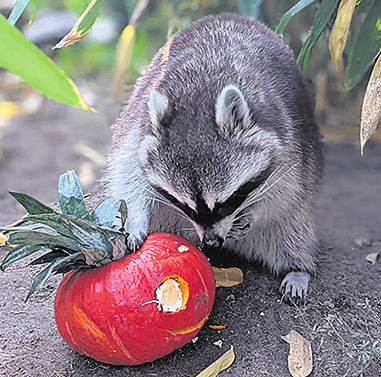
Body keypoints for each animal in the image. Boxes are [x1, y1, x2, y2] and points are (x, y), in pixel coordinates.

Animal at [105, 13, 322, 302]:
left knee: (292, 227)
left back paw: (297, 266)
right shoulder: (139, 130)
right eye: (184, 205)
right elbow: (130, 177)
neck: (201, 93)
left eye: (225, 204)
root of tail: (231, 16)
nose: (211, 242)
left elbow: (284, 195)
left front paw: (254, 214)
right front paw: (136, 218)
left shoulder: (289, 143)